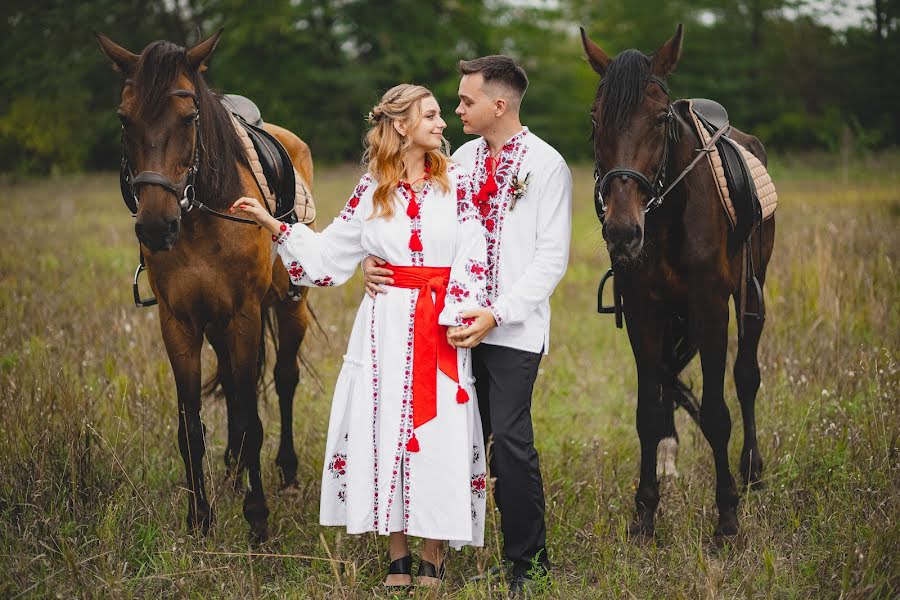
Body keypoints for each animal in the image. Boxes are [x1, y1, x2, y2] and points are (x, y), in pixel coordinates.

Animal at [96, 30, 314, 540]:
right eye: (123, 117)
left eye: (190, 116)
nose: (156, 226)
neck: (200, 217)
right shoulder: (179, 322)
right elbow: (191, 425)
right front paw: (199, 519)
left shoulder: (245, 314)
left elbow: (254, 417)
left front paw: (257, 520)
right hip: (217, 326)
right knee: (236, 386)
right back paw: (233, 471)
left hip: (288, 308)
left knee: (284, 379)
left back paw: (287, 472)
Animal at [580, 24, 776, 540]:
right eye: (596, 119)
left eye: (659, 118)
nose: (622, 231)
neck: (666, 218)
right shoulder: (644, 310)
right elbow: (648, 411)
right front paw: (645, 512)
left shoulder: (711, 309)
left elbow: (716, 412)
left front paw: (727, 515)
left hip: (752, 291)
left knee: (746, 377)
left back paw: (752, 471)